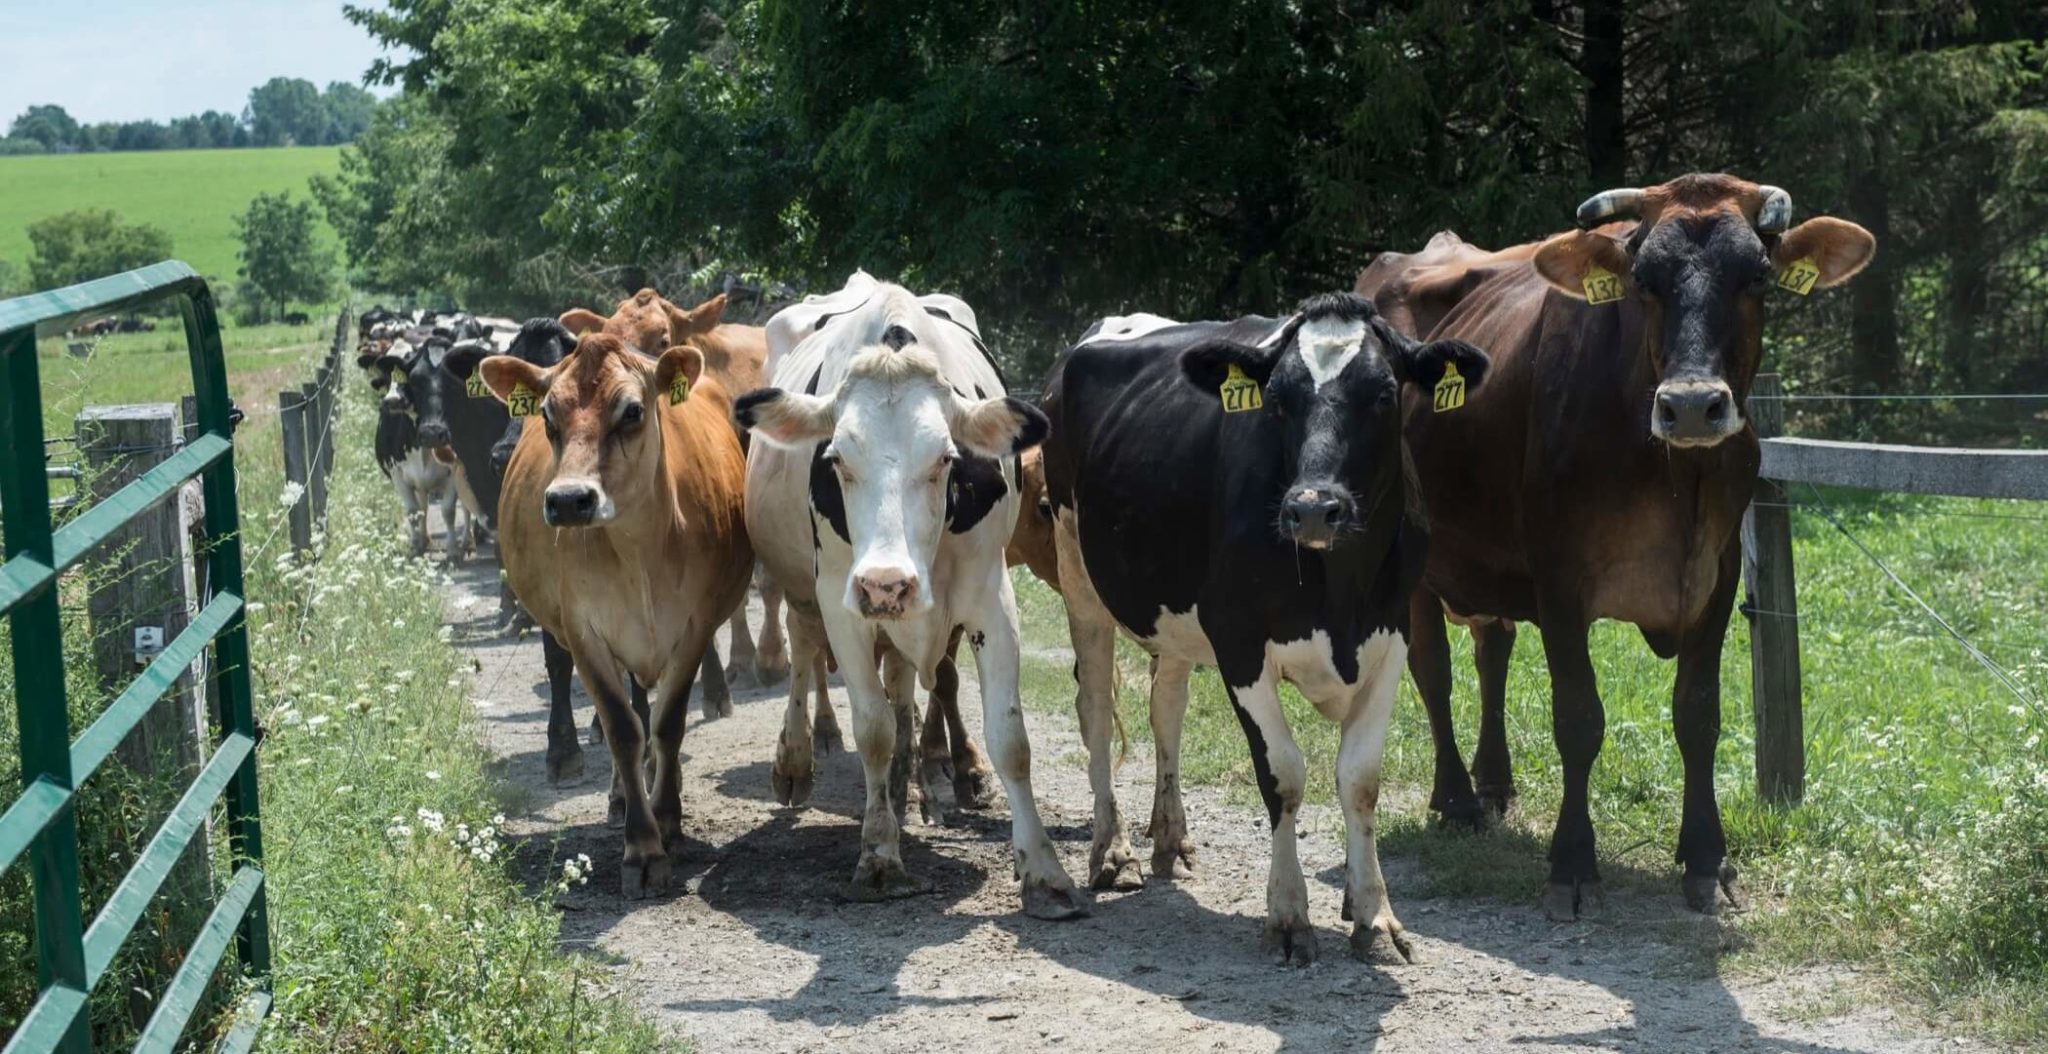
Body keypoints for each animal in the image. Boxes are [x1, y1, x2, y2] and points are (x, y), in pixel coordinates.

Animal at [480, 331, 753, 897]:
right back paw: (623, 796)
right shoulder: (584, 633)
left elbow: (668, 725)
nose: (569, 501)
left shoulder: (693, 628)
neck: (639, 548)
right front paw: (643, 847)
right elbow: (623, 728)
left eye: (632, 411)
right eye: (547, 414)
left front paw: (668, 820)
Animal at [735, 274, 1085, 918]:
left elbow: (1010, 739)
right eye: (836, 458)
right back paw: (797, 758)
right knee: (802, 651)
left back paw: (903, 788)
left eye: (945, 458)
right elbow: (872, 728)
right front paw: (878, 856)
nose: (885, 582)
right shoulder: (843, 606)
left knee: (902, 688)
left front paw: (1045, 873)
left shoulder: (992, 603)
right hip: (802, 590)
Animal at [1042, 293, 1490, 964]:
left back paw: (1170, 838)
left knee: (1166, 707)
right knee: (1095, 707)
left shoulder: (1391, 636)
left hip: (1172, 609)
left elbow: (1360, 779)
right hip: (1079, 571)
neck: (1338, 588)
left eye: (1384, 394)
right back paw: (1113, 852)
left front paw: (1373, 915)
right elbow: (1283, 773)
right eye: (1277, 398)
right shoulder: (1239, 639)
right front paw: (1288, 916)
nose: (1312, 509)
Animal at [1356, 173, 1876, 920]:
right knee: (1433, 672)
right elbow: (1578, 717)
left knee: (1491, 655)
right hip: (1412, 555)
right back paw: (1456, 801)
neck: (1676, 476)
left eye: (1756, 275)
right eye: (1643, 282)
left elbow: (1698, 715)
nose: (1691, 405)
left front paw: (1707, 859)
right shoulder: (1558, 577)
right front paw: (1573, 862)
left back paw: (1494, 783)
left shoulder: (1717, 577)